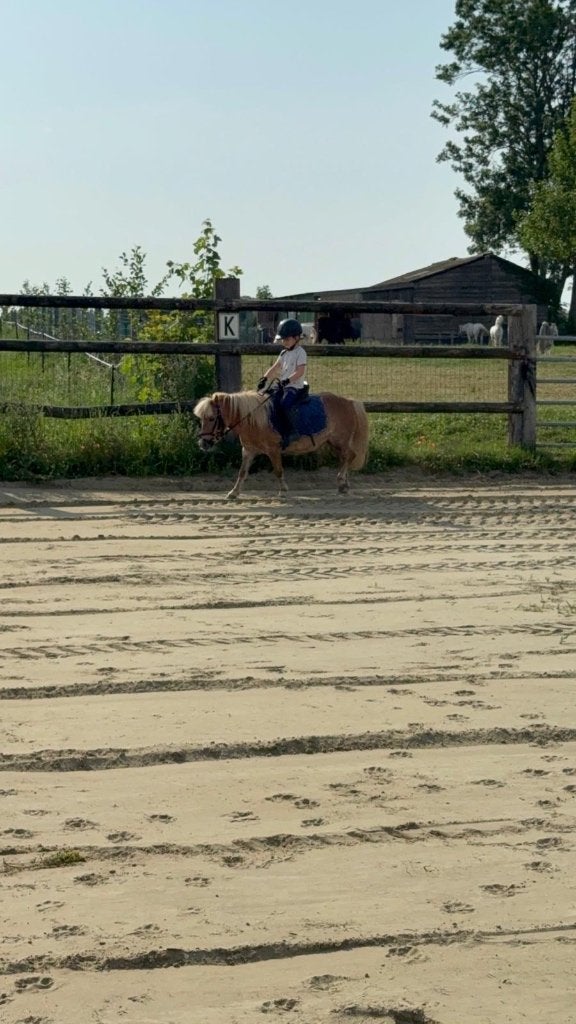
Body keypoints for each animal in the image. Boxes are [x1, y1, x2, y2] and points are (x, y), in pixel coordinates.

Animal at [193, 386, 369, 499]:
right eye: (201, 418)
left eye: (211, 418)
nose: (203, 444)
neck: (253, 419)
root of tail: (349, 402)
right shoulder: (248, 450)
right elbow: (242, 472)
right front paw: (233, 493)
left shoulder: (273, 450)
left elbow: (278, 471)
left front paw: (283, 491)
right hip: (334, 442)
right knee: (345, 458)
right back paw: (344, 484)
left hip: (340, 440)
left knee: (349, 456)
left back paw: (341, 482)